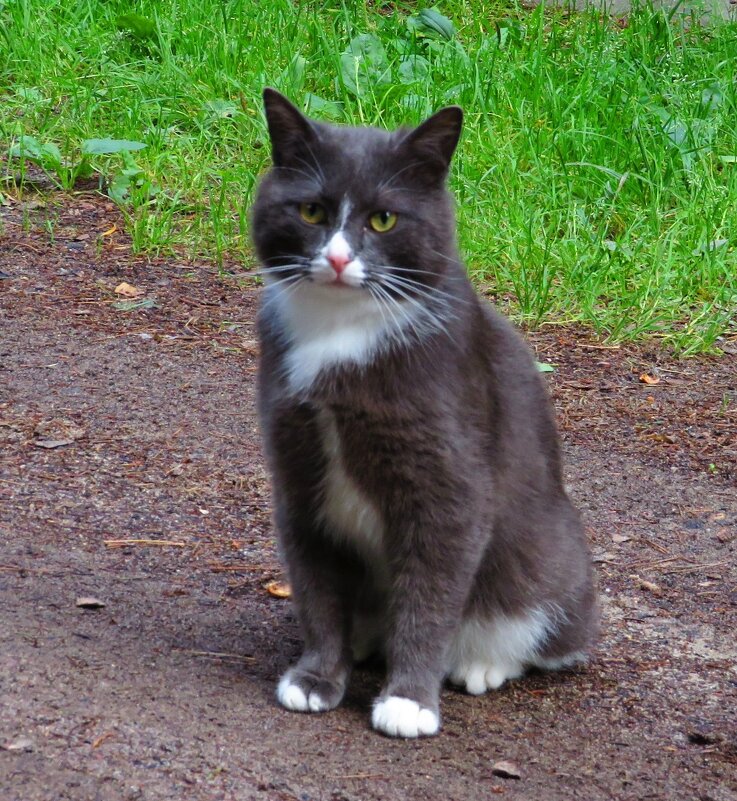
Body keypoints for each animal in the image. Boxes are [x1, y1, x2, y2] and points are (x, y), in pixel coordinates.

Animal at [250, 87, 596, 736]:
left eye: (383, 219)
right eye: (310, 211)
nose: (338, 259)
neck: (339, 332)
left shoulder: (446, 477)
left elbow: (431, 595)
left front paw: (408, 701)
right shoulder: (297, 468)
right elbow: (316, 585)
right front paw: (316, 678)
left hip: (551, 563)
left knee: (545, 634)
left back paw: (481, 663)